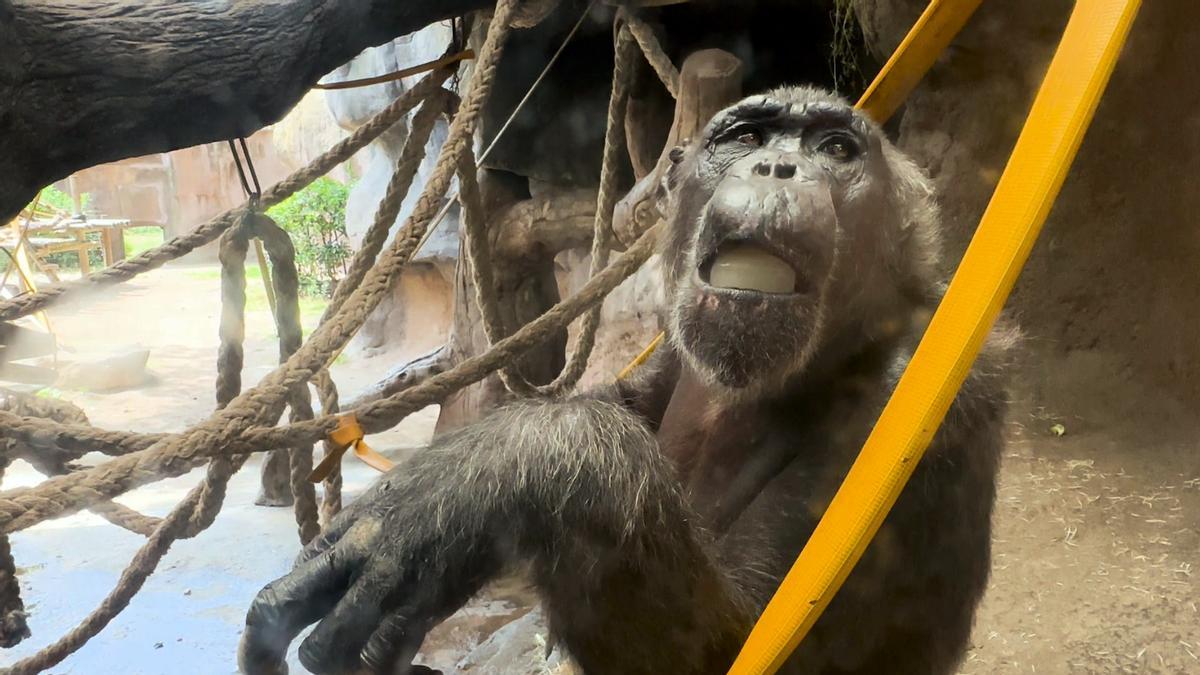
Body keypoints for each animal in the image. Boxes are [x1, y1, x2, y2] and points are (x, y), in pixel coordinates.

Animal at [236, 86, 1012, 672]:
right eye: (747, 136)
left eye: (837, 151)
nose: (777, 169)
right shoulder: (670, 350)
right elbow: (620, 401)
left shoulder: (913, 395)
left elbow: (738, 638)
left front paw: (479, 481)